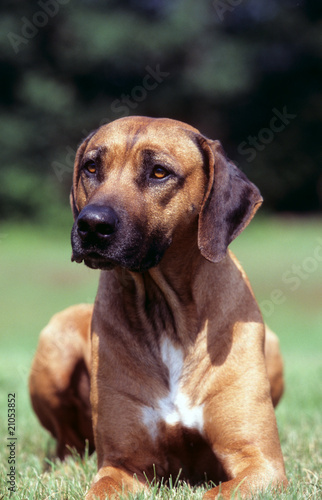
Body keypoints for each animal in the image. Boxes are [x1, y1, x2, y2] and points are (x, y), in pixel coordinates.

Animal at [30, 115, 286, 498]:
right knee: (67, 446)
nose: (91, 224)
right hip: (55, 343)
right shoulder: (122, 464)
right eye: (91, 167)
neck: (165, 314)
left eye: (159, 172)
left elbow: (219, 490)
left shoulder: (260, 461)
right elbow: (101, 485)